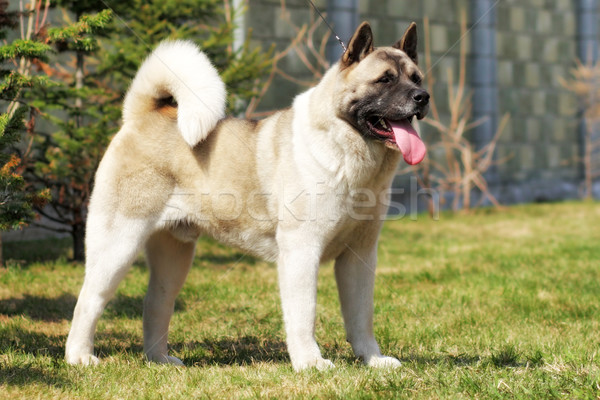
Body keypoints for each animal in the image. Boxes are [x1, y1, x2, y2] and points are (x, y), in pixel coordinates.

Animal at [65, 22, 428, 372]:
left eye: (416, 78)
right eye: (384, 80)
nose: (422, 97)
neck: (350, 152)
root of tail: (141, 117)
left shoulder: (359, 257)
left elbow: (361, 317)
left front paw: (373, 360)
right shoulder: (301, 252)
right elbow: (304, 314)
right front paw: (310, 362)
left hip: (174, 259)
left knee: (156, 304)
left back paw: (160, 361)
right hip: (118, 245)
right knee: (88, 301)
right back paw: (79, 357)